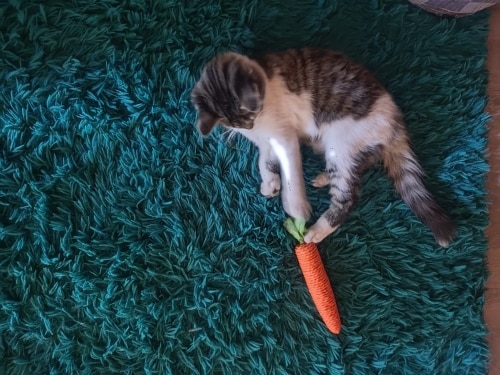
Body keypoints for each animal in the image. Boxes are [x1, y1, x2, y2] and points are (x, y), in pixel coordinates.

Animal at [189, 47, 456, 247]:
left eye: (249, 114)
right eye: (236, 122)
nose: (249, 124)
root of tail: (395, 121)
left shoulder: (284, 137)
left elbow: (290, 172)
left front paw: (296, 207)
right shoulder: (267, 141)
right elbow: (263, 160)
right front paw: (270, 181)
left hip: (342, 144)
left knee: (349, 195)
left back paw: (318, 229)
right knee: (362, 166)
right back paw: (324, 178)